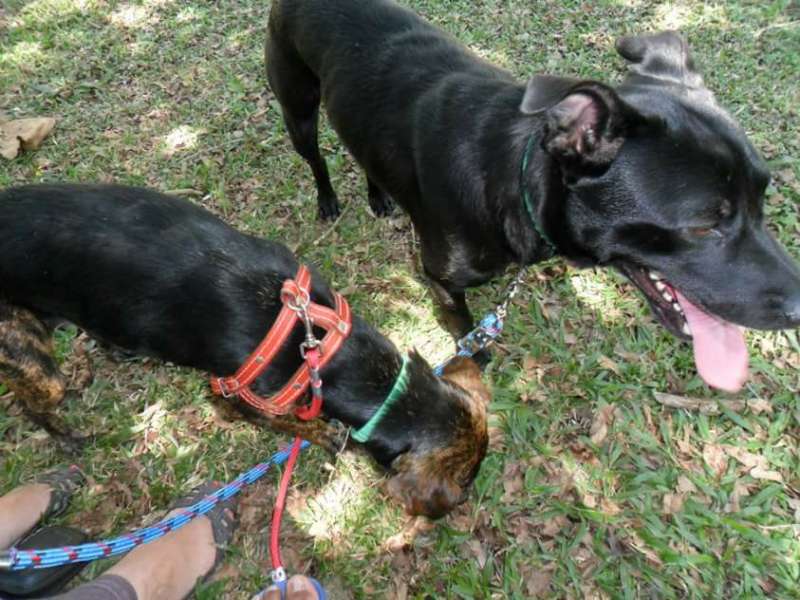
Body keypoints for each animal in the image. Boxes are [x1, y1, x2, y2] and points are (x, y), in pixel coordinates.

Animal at [0, 183, 490, 520]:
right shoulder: (234, 396)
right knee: (34, 403)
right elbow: (287, 420)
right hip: (28, 354)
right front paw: (322, 434)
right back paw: (68, 436)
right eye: (466, 481)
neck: (322, 348)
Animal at [266, 0, 800, 392]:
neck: (515, 175)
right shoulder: (441, 279)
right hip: (298, 109)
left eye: (763, 198)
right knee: (316, 157)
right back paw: (327, 200)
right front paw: (477, 356)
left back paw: (379, 197)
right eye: (704, 226)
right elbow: (465, 327)